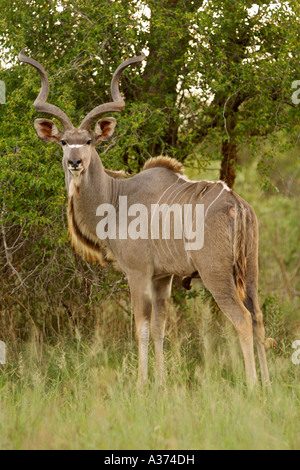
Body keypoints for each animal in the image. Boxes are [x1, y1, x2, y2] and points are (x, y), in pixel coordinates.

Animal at [19, 50, 274, 390]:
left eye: (88, 141)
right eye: (63, 142)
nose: (74, 162)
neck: (116, 197)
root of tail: (236, 205)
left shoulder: (138, 272)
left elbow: (140, 326)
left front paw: (141, 385)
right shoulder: (162, 277)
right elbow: (159, 328)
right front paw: (161, 384)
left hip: (216, 274)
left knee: (242, 319)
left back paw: (252, 385)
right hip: (252, 270)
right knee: (258, 317)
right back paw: (268, 386)